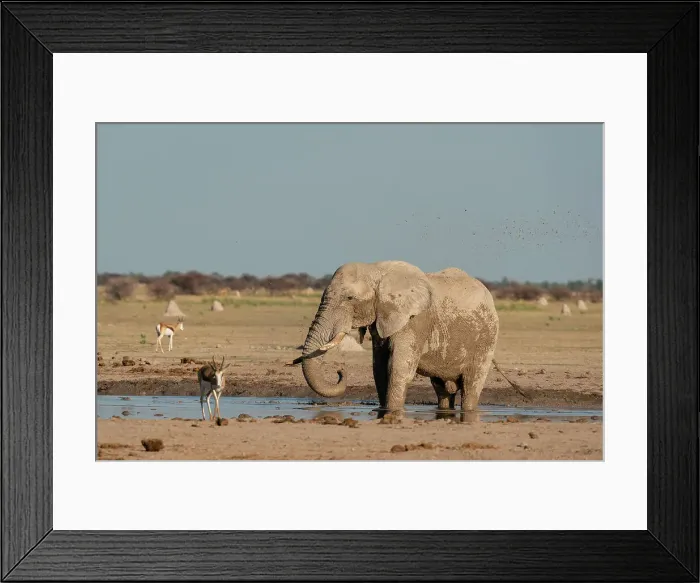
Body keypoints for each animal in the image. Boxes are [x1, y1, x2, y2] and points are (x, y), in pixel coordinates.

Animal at [287, 260, 501, 417]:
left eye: (350, 298)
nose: (339, 370)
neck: (376, 270)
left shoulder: (415, 321)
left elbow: (398, 367)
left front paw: (392, 411)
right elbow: (380, 367)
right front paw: (383, 411)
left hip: (486, 339)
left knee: (471, 385)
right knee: (442, 389)